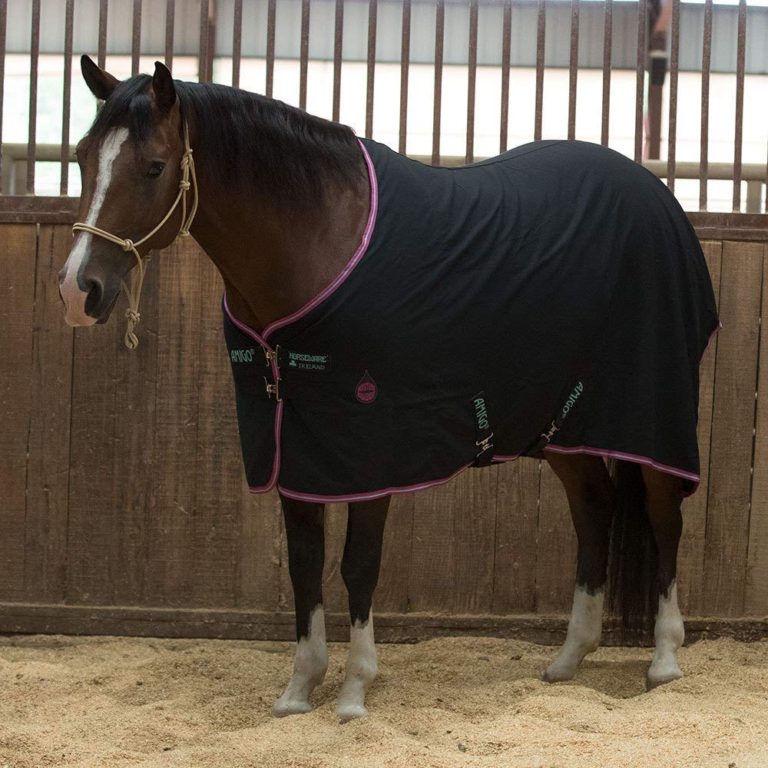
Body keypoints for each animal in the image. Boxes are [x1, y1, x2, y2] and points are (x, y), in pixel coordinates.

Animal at [59, 57, 719, 722]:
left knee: (663, 514)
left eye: (154, 166)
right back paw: (568, 660)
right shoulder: (293, 445)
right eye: (84, 157)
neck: (319, 244)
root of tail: (657, 196)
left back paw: (664, 660)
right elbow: (304, 565)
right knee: (594, 509)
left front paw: (354, 692)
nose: (77, 291)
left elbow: (358, 566)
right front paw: (299, 691)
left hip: (650, 417)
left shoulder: (368, 451)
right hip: (563, 422)